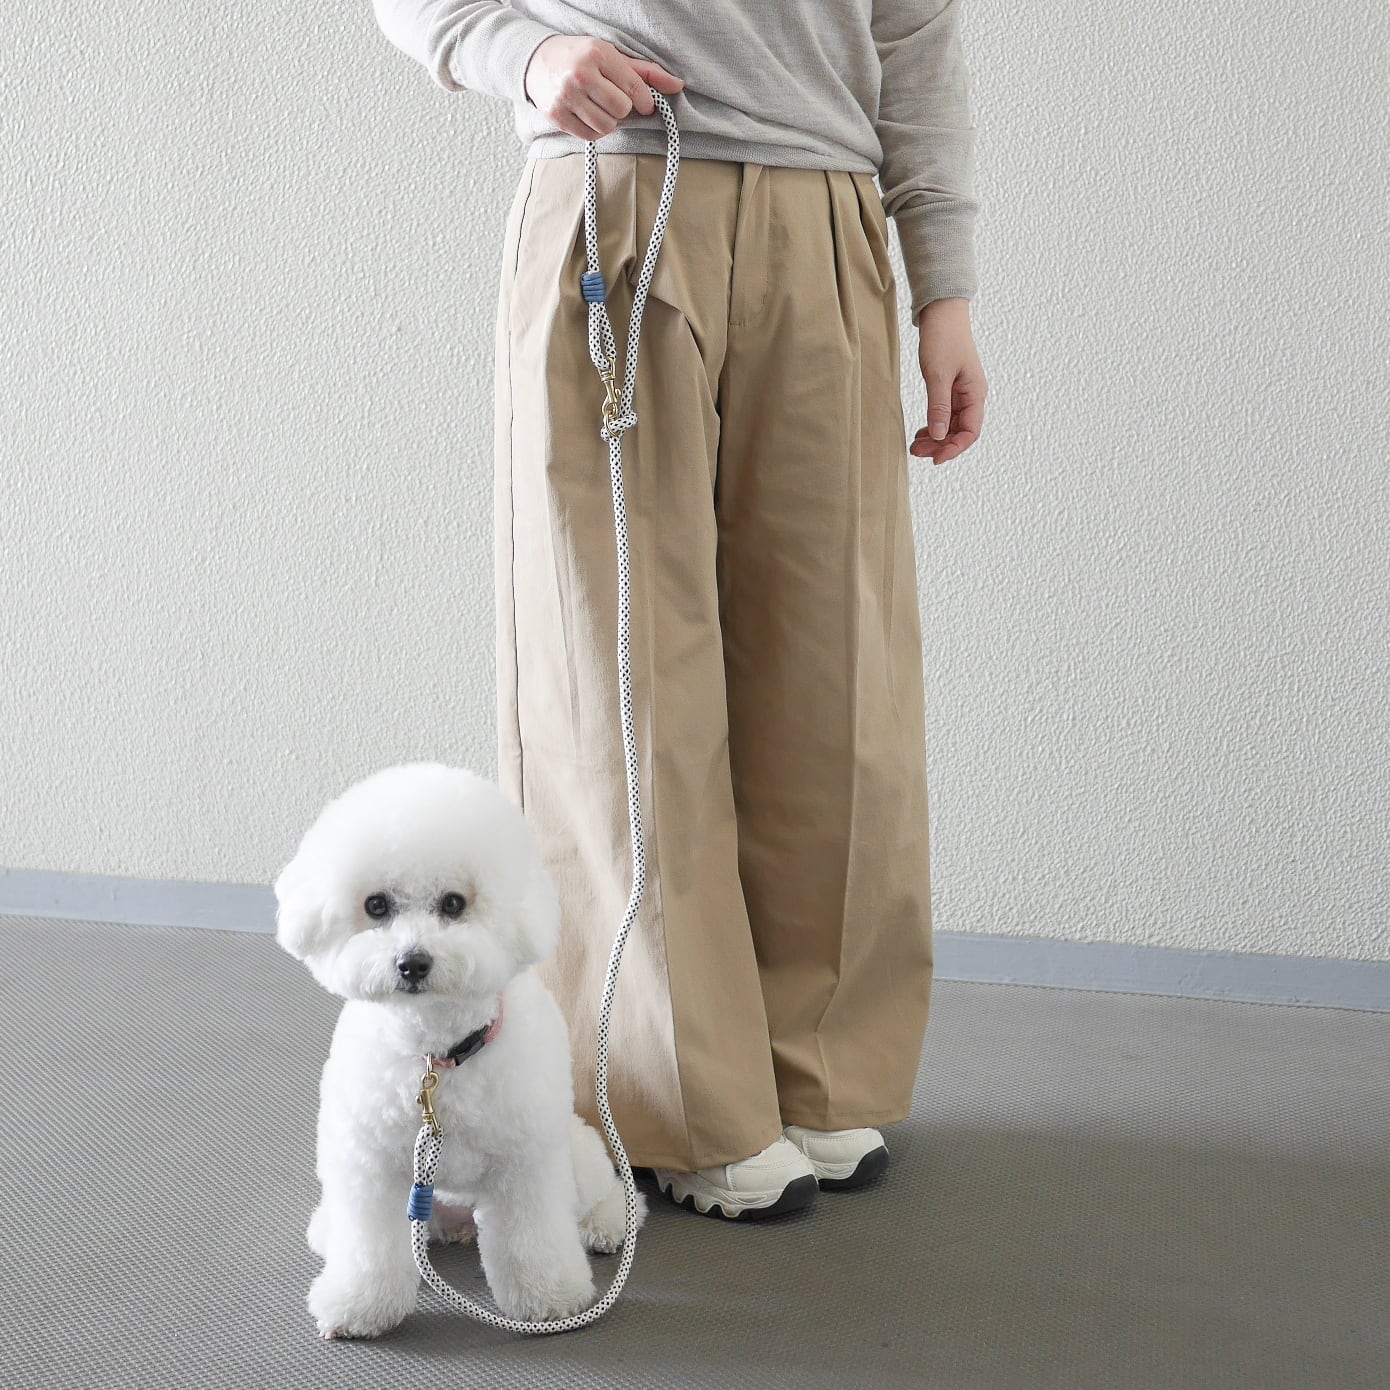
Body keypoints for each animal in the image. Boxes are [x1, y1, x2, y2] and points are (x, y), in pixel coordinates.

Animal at [274, 761, 642, 1337]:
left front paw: (551, 1297)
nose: (412, 962)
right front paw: (360, 1305)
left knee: (614, 1192)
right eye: (376, 905)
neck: (438, 1055)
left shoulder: (524, 1162)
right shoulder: (369, 1165)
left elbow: (532, 1239)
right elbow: (368, 1249)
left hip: (574, 1148)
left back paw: (607, 1224)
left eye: (453, 904)